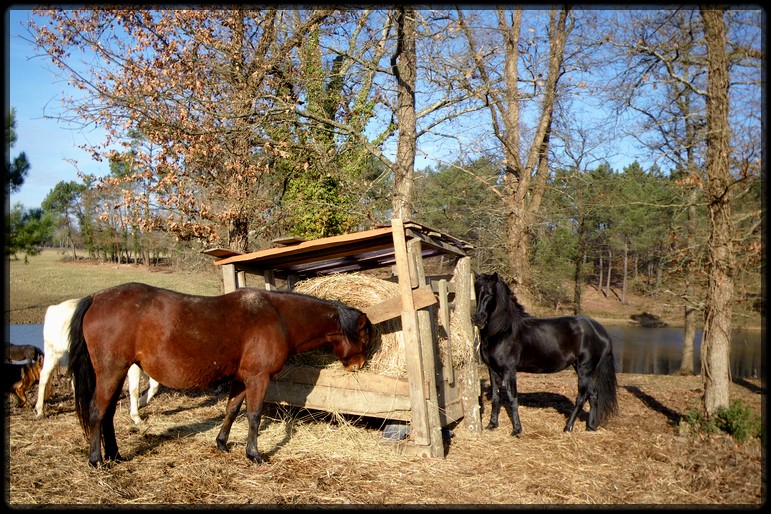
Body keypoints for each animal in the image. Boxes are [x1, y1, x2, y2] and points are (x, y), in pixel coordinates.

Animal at [68, 282, 372, 466]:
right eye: (365, 335)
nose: (358, 366)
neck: (279, 317)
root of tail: (96, 298)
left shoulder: (240, 378)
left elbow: (231, 410)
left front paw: (222, 444)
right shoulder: (258, 378)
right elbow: (253, 415)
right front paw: (254, 454)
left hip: (116, 373)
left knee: (107, 414)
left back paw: (114, 455)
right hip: (111, 371)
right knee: (97, 411)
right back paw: (97, 460)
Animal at [474, 270, 620, 434]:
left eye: (491, 294)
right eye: (477, 291)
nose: (478, 319)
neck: (503, 331)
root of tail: (600, 330)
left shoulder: (509, 371)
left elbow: (512, 398)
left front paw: (517, 429)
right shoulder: (493, 370)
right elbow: (495, 397)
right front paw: (492, 424)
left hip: (585, 370)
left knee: (581, 398)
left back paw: (568, 427)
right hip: (584, 369)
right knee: (593, 394)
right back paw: (590, 427)